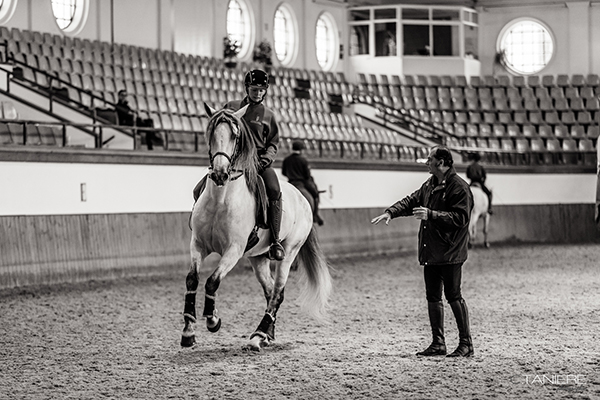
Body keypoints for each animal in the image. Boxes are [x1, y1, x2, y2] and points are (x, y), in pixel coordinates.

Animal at [183, 104, 332, 352]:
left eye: (234, 136)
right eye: (211, 133)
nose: (220, 173)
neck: (221, 200)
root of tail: (302, 198)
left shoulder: (233, 250)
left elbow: (212, 281)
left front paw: (213, 320)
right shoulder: (197, 244)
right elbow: (192, 280)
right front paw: (188, 331)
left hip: (289, 252)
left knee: (278, 293)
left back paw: (257, 335)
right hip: (258, 258)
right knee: (270, 291)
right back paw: (266, 335)